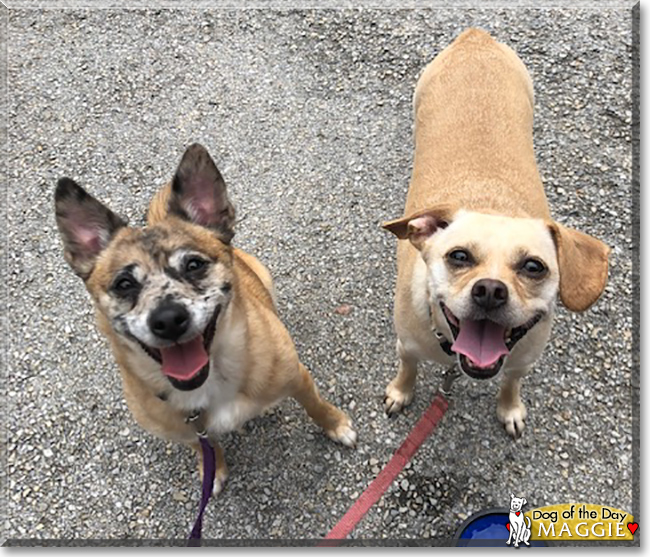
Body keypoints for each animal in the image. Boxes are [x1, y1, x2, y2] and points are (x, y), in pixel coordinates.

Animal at [53, 143, 356, 490]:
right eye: (124, 284)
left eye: (194, 265)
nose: (168, 319)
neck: (213, 384)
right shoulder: (188, 431)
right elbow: (205, 445)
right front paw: (212, 470)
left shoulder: (299, 378)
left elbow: (316, 406)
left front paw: (337, 425)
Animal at [380, 29, 608, 438]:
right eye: (458, 256)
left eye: (534, 267)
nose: (489, 290)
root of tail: (476, 37)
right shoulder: (405, 345)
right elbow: (408, 370)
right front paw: (400, 393)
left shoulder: (521, 362)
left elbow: (511, 383)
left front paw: (510, 409)